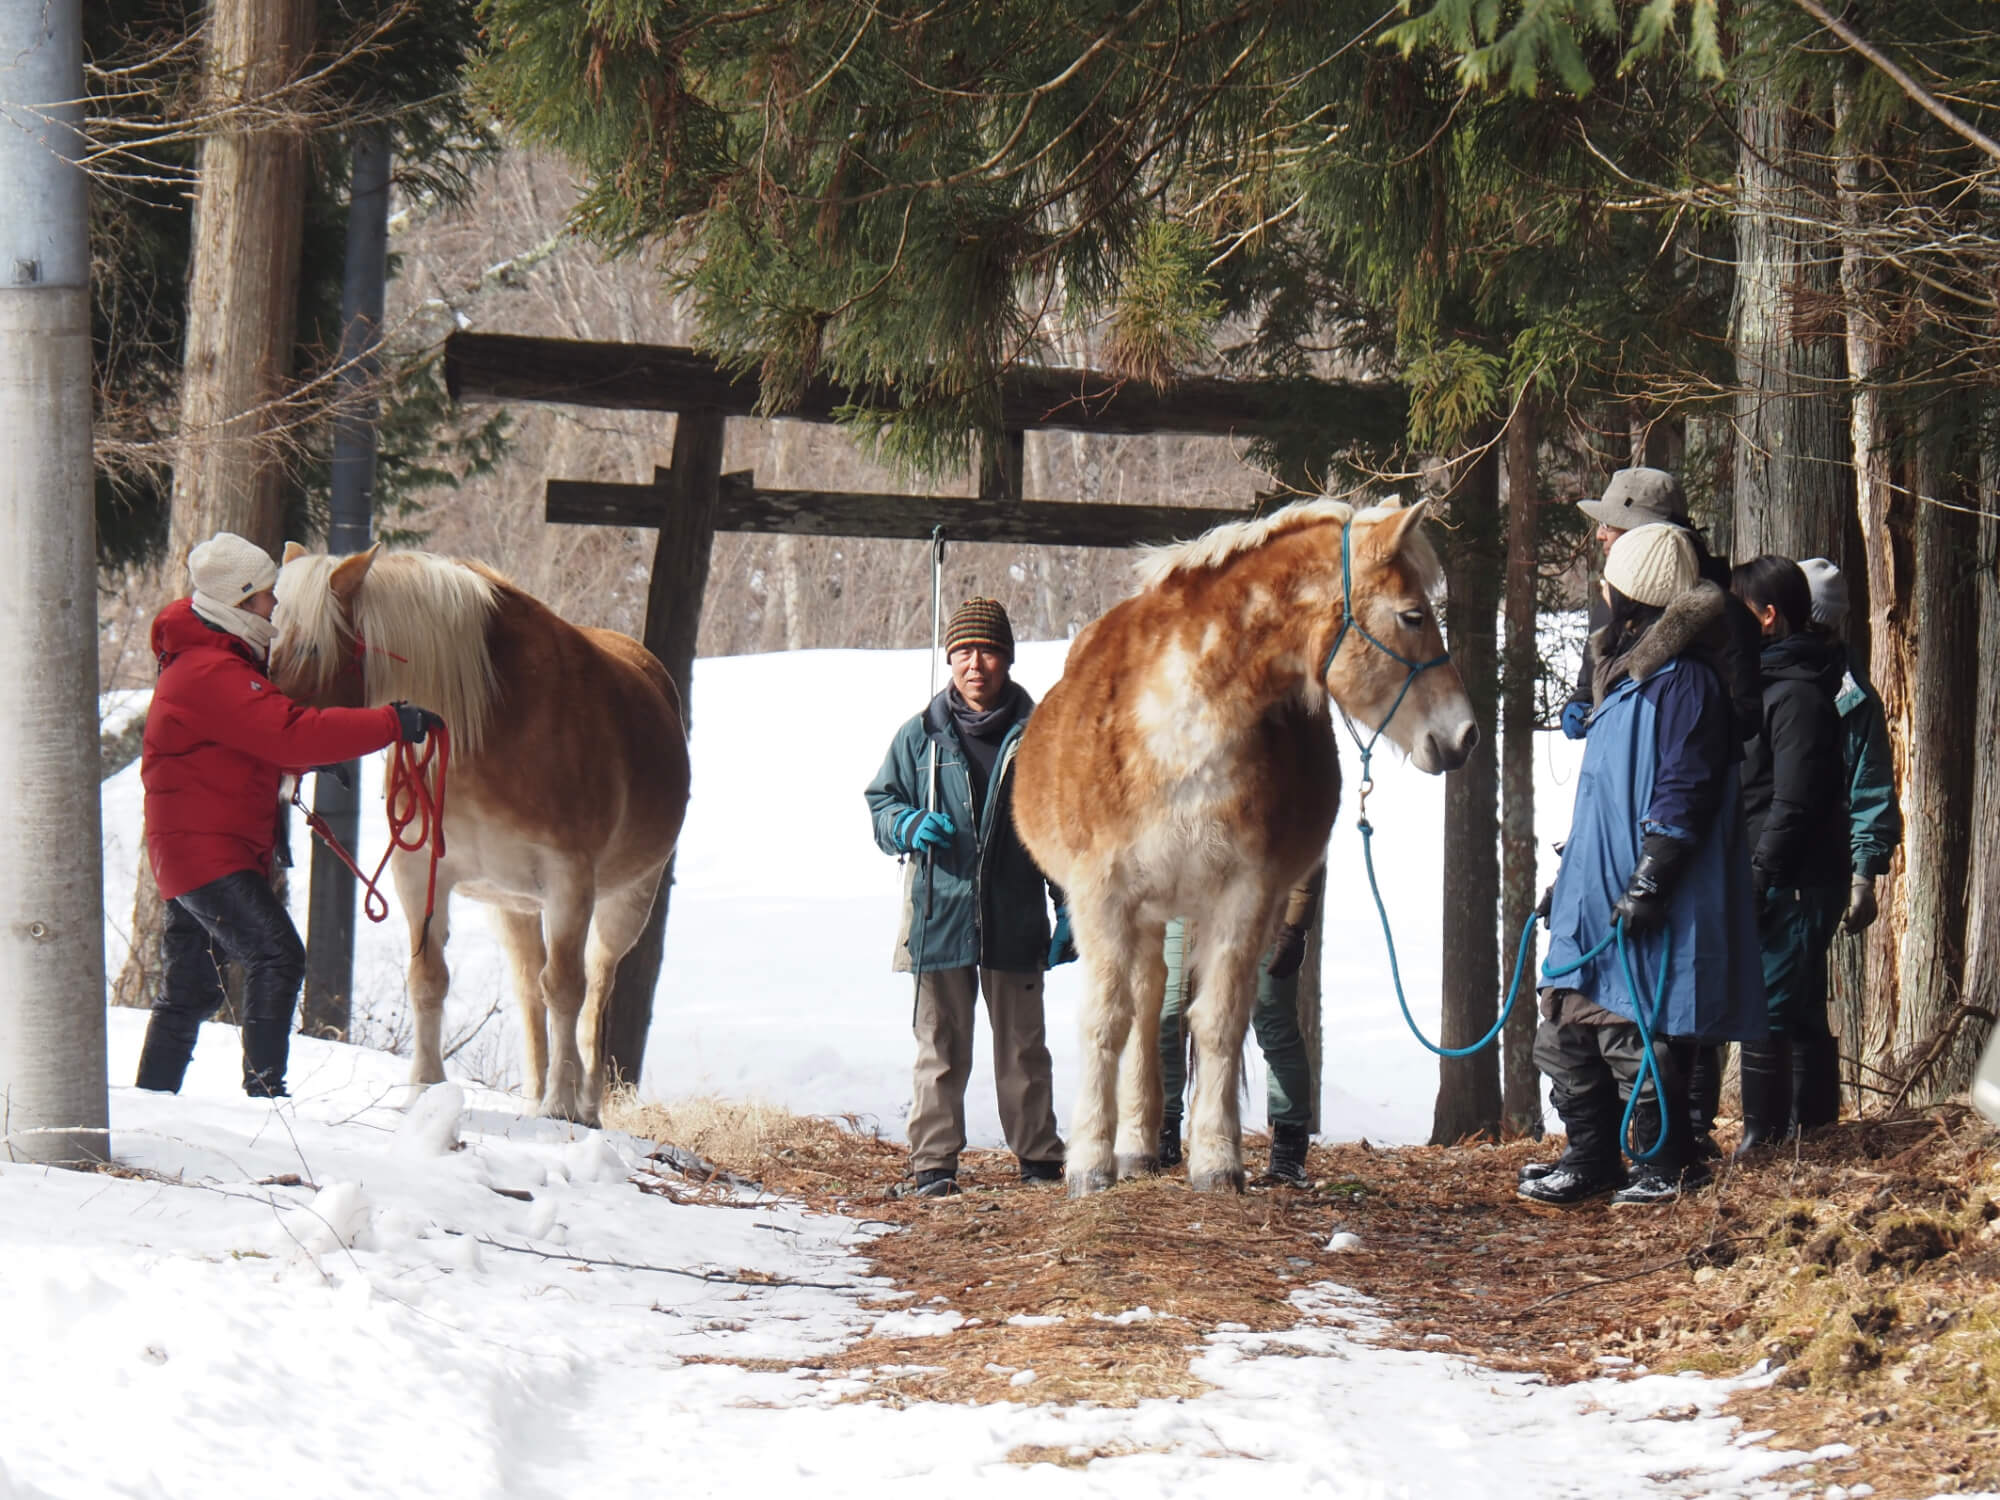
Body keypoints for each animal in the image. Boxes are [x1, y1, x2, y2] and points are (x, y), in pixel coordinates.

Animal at [267, 544, 690, 1126]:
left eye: (311, 645)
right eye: (271, 636)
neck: (493, 727)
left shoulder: (570, 882)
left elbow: (567, 989)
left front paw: (561, 1103)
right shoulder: (419, 871)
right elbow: (428, 978)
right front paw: (423, 1087)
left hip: (626, 901)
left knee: (594, 990)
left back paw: (583, 1102)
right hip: (513, 906)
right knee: (529, 986)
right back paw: (535, 1092)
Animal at [1012, 497, 1479, 1195]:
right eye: (1413, 615)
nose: (1465, 735)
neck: (1183, 725)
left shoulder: (1244, 896)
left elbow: (1220, 1021)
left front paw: (1216, 1159)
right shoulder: (1103, 897)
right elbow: (1106, 1022)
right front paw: (1089, 1163)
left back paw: (1146, 1143)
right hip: (1146, 911)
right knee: (1145, 1006)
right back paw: (1131, 1144)